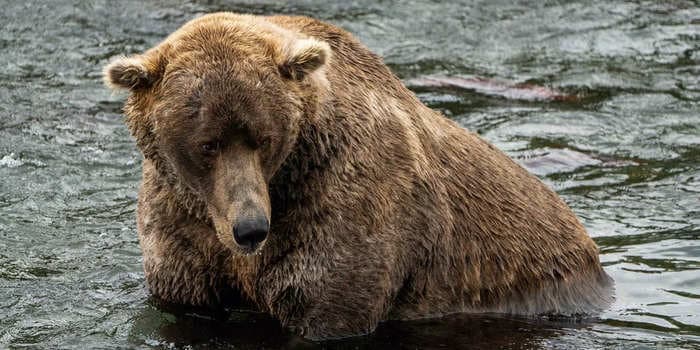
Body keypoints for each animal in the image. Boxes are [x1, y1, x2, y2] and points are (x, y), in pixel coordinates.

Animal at [104, 13, 612, 340]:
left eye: (262, 138)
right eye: (207, 144)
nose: (250, 229)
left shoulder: (347, 205)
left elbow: (329, 301)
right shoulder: (182, 224)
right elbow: (185, 299)